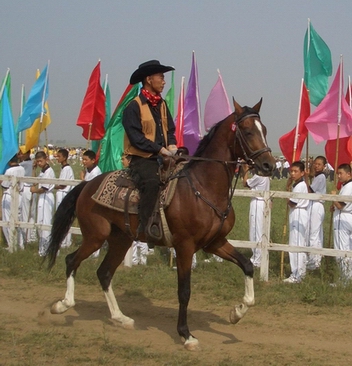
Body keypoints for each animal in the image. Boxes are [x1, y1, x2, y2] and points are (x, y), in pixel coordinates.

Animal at [45, 98, 276, 350]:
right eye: (248, 131)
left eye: (265, 130)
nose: (269, 165)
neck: (202, 187)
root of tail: (87, 185)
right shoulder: (185, 246)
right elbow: (184, 291)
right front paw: (186, 335)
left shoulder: (215, 243)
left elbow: (247, 266)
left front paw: (237, 312)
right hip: (96, 236)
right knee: (72, 260)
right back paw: (63, 305)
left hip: (120, 240)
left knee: (104, 273)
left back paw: (120, 318)